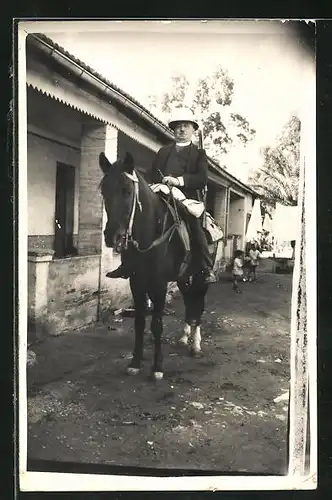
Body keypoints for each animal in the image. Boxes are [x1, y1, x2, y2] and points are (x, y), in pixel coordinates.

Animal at [98, 151, 210, 378]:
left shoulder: (160, 284)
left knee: (198, 307)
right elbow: (140, 321)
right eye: (104, 191)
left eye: (127, 190)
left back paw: (195, 344)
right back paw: (184, 337)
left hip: (200, 278)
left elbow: (157, 324)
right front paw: (135, 361)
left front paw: (157, 367)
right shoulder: (136, 281)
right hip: (184, 279)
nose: (112, 237)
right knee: (189, 304)